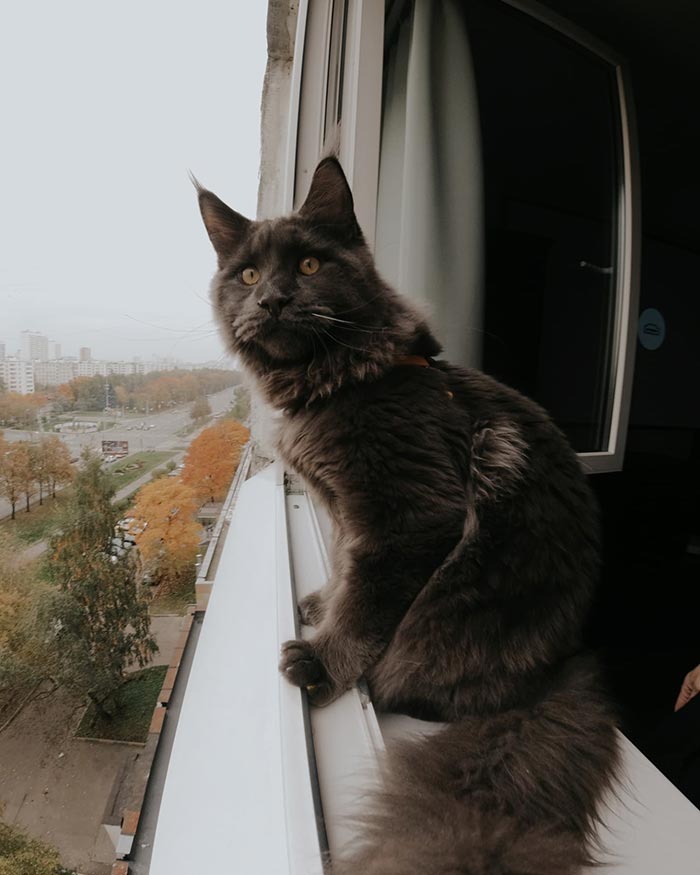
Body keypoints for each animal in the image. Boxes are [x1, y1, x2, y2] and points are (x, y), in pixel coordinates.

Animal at [196, 159, 616, 875]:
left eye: (308, 265)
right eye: (247, 276)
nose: (272, 299)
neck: (333, 387)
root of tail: (558, 666)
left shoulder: (409, 515)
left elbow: (368, 601)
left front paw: (323, 660)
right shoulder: (339, 506)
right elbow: (346, 571)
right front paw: (322, 603)